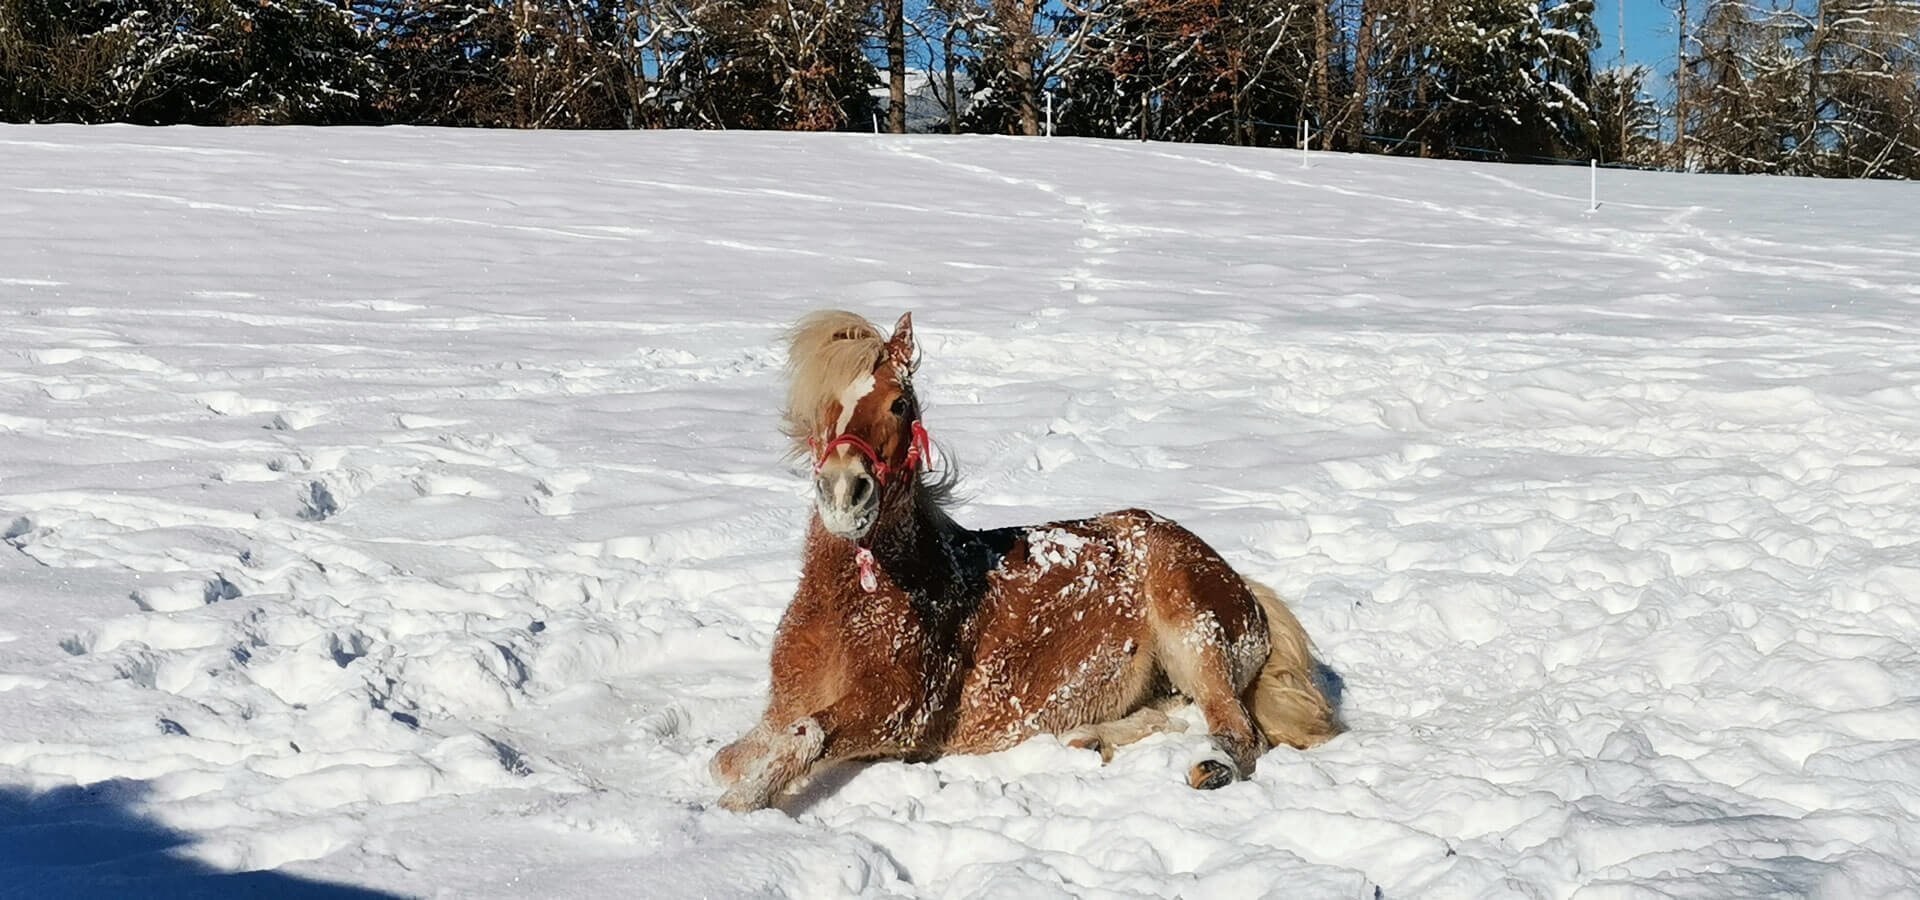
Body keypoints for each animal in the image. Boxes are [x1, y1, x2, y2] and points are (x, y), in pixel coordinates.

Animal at [710, 310, 1336, 813]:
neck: (858, 602)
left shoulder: (900, 710)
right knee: (1177, 710)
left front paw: (740, 807)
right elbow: (730, 756)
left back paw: (1208, 766)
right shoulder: (782, 707)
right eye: (822, 406)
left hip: (1194, 635)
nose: (845, 493)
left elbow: (802, 738)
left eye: (899, 404)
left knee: (1236, 727)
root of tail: (1237, 579)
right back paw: (1092, 738)